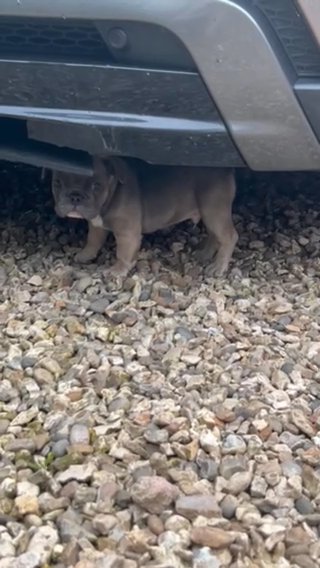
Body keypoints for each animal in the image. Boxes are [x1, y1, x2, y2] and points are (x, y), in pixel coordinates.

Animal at [52, 158, 238, 278]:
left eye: (96, 186)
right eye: (58, 183)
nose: (75, 196)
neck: (112, 193)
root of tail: (226, 169)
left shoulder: (127, 234)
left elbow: (123, 253)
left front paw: (117, 270)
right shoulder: (96, 225)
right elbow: (93, 241)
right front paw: (86, 255)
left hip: (213, 210)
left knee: (228, 236)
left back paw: (218, 267)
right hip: (210, 214)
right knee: (215, 234)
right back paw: (205, 254)